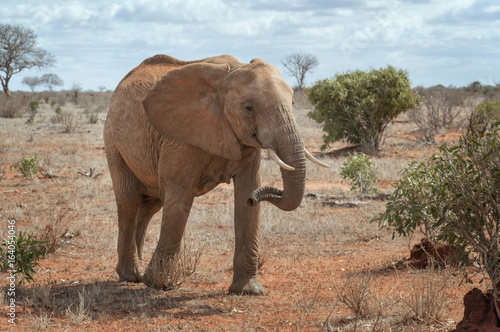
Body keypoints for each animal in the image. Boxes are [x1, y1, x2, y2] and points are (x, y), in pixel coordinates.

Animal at [103, 54, 328, 296]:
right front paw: (158, 284)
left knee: (149, 207)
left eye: (293, 104)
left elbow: (246, 191)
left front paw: (248, 291)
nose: (257, 198)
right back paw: (132, 276)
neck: (228, 75)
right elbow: (180, 198)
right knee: (129, 201)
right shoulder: (179, 135)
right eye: (248, 108)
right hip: (114, 142)